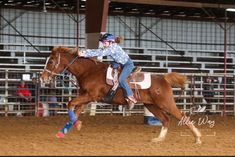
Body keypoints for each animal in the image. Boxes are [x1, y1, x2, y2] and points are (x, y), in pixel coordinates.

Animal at [39, 46, 201, 144]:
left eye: (51, 61)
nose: (43, 78)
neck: (89, 71)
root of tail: (164, 79)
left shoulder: (90, 96)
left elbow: (70, 104)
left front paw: (74, 125)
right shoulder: (86, 97)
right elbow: (75, 110)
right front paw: (66, 130)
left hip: (166, 103)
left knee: (183, 117)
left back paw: (198, 138)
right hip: (151, 106)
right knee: (166, 119)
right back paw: (158, 139)